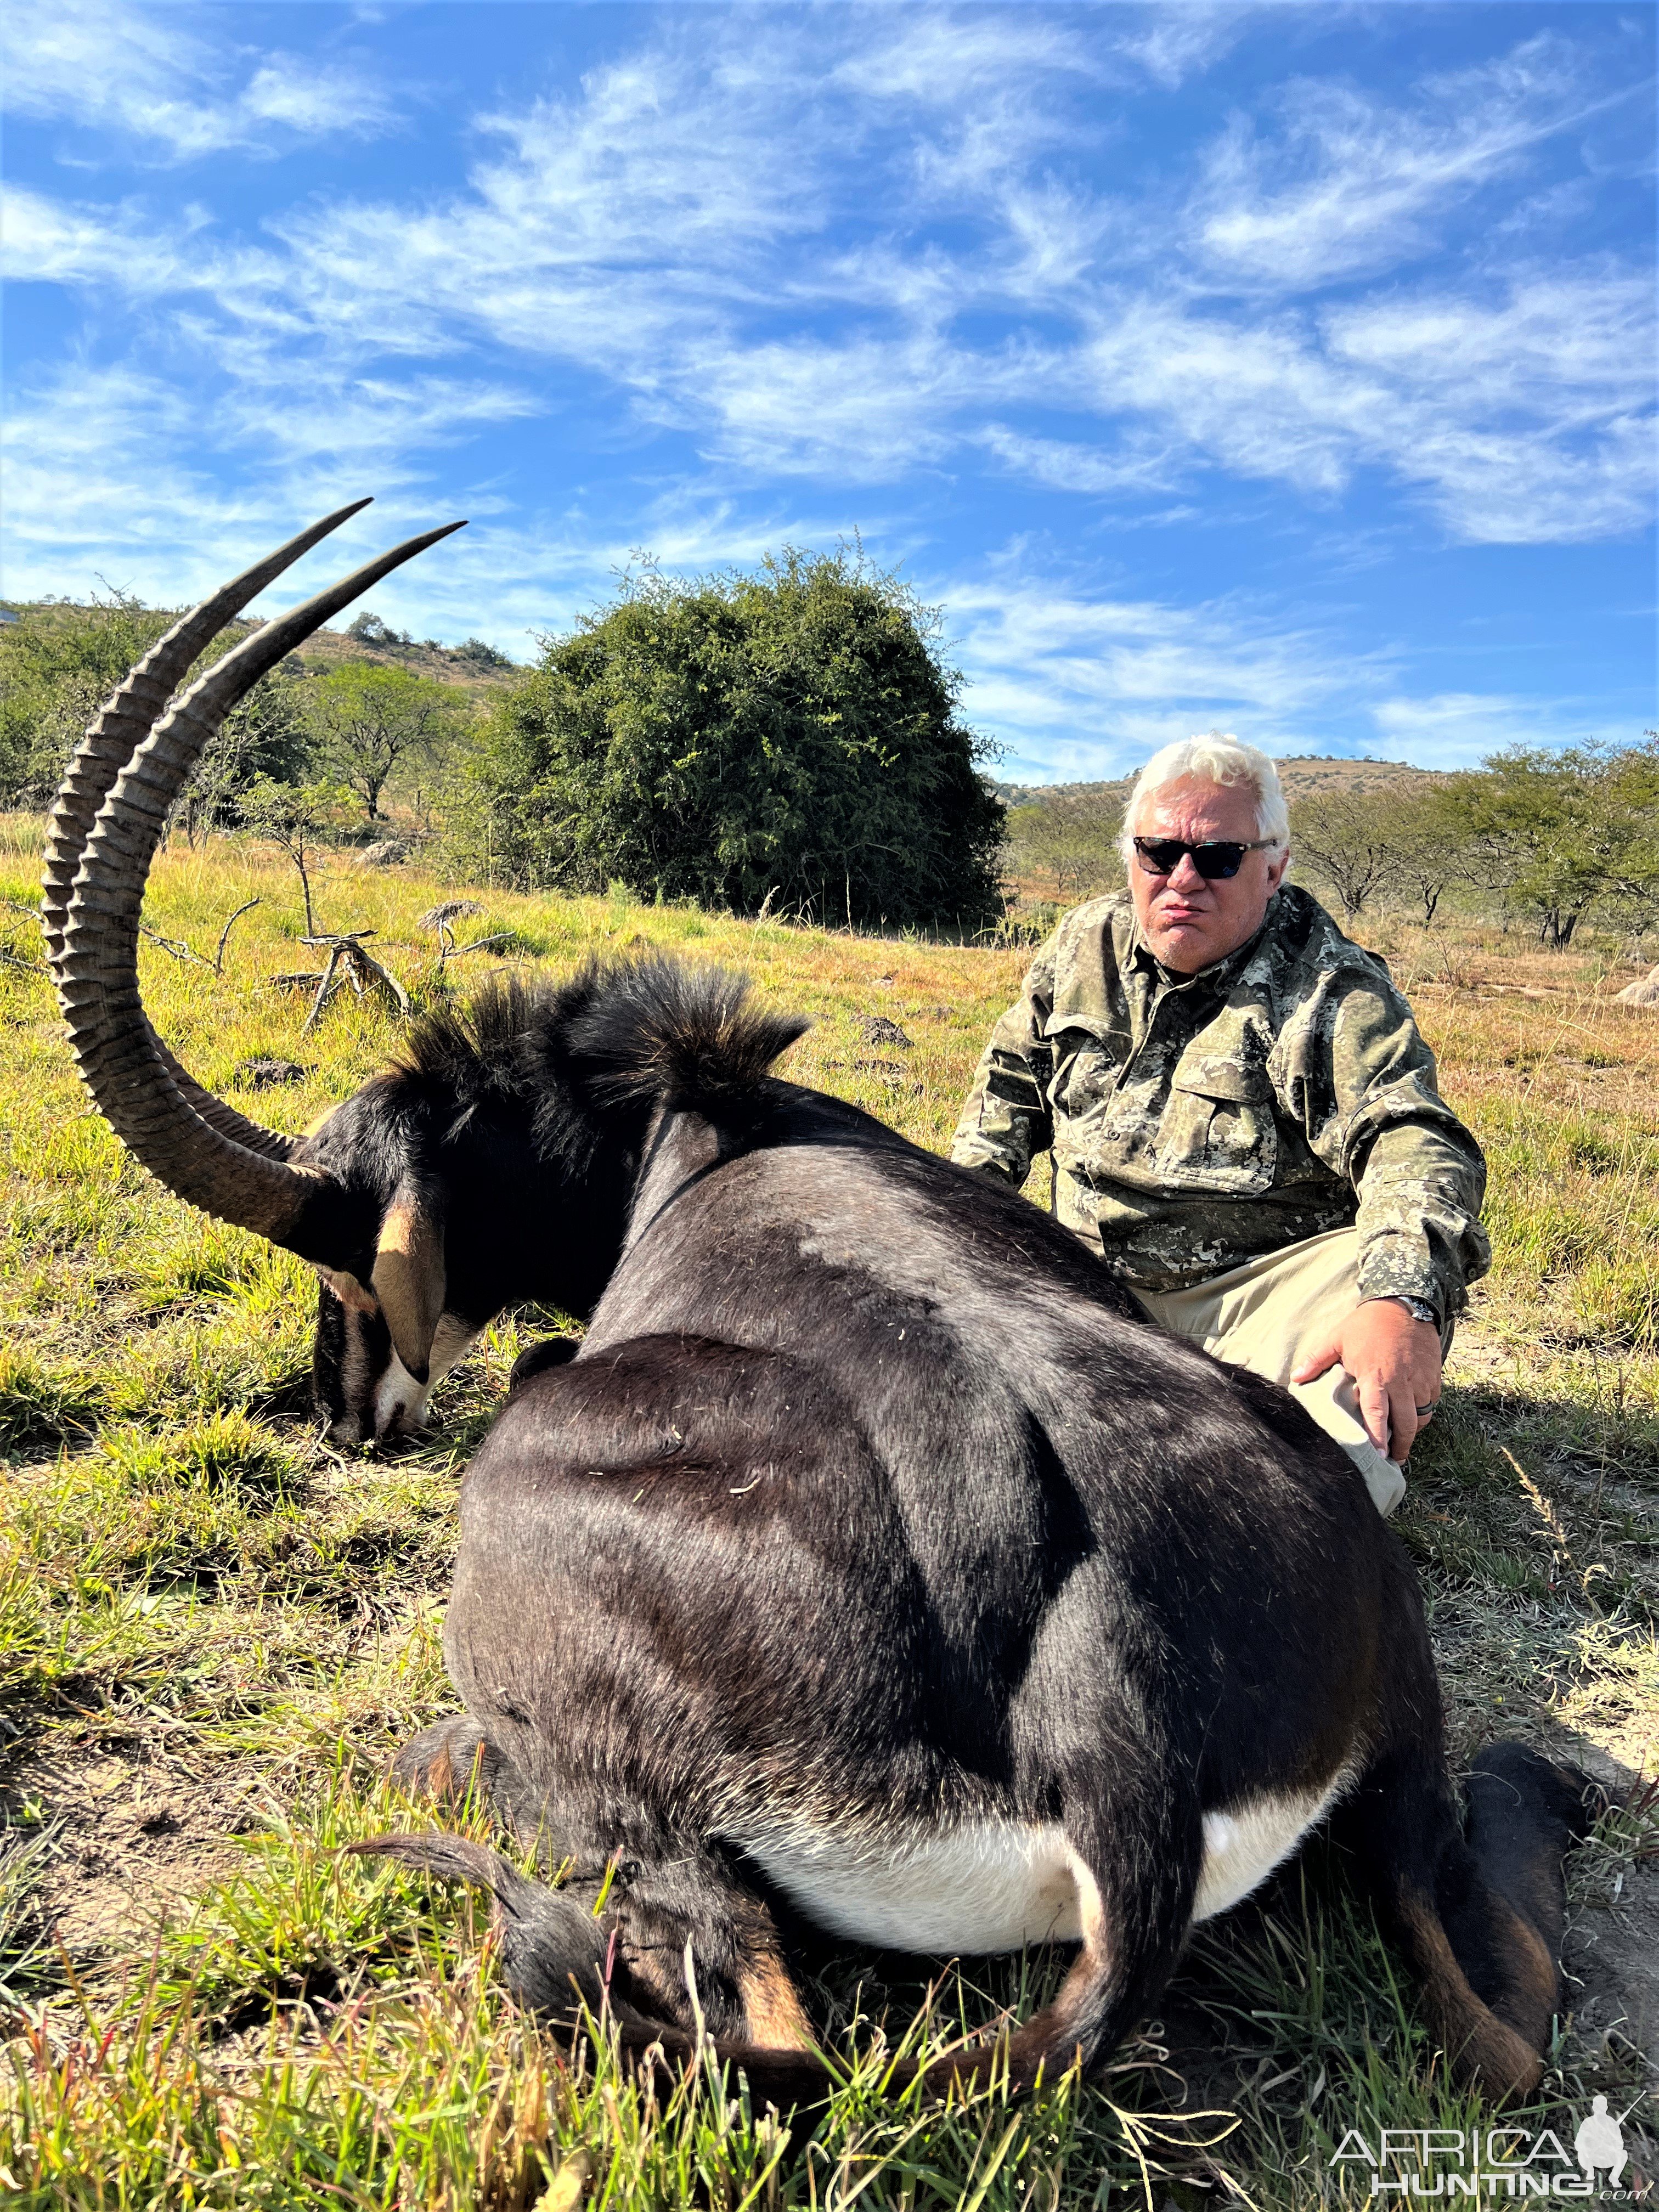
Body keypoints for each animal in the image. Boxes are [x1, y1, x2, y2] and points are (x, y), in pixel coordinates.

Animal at [48, 506, 1601, 2106]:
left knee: (740, 2009)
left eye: (340, 1256)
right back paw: (1546, 1784)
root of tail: (1118, 1722)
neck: (703, 1122)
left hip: (609, 1718)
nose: (341, 1419)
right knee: (1500, 2021)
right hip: (1399, 1731)